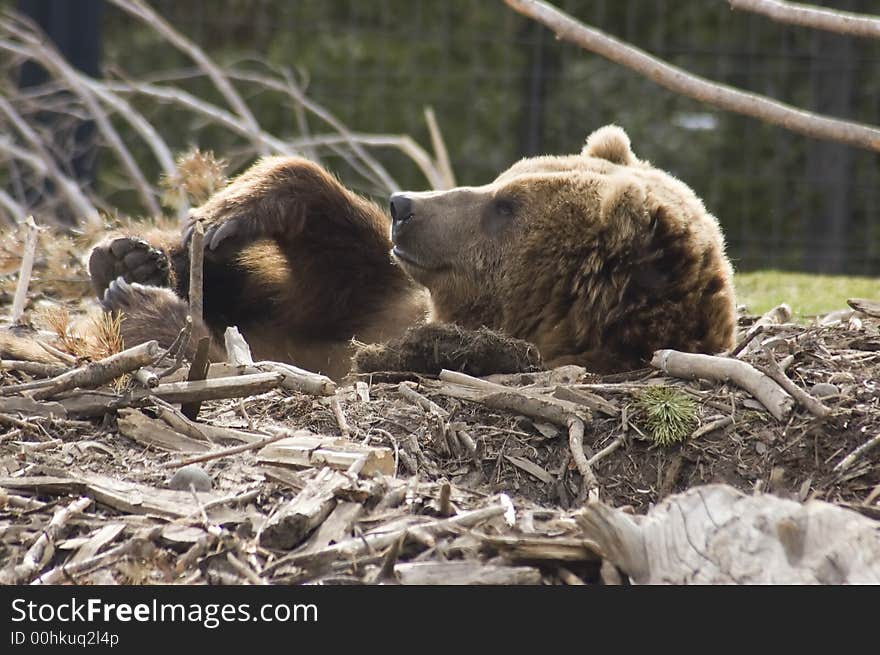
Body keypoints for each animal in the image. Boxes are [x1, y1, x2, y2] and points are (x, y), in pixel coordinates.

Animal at [79, 125, 736, 380]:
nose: (404, 205)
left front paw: (144, 309)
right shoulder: (380, 298)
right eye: (504, 182)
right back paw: (130, 256)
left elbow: (264, 358)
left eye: (507, 207)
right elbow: (333, 264)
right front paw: (223, 219)